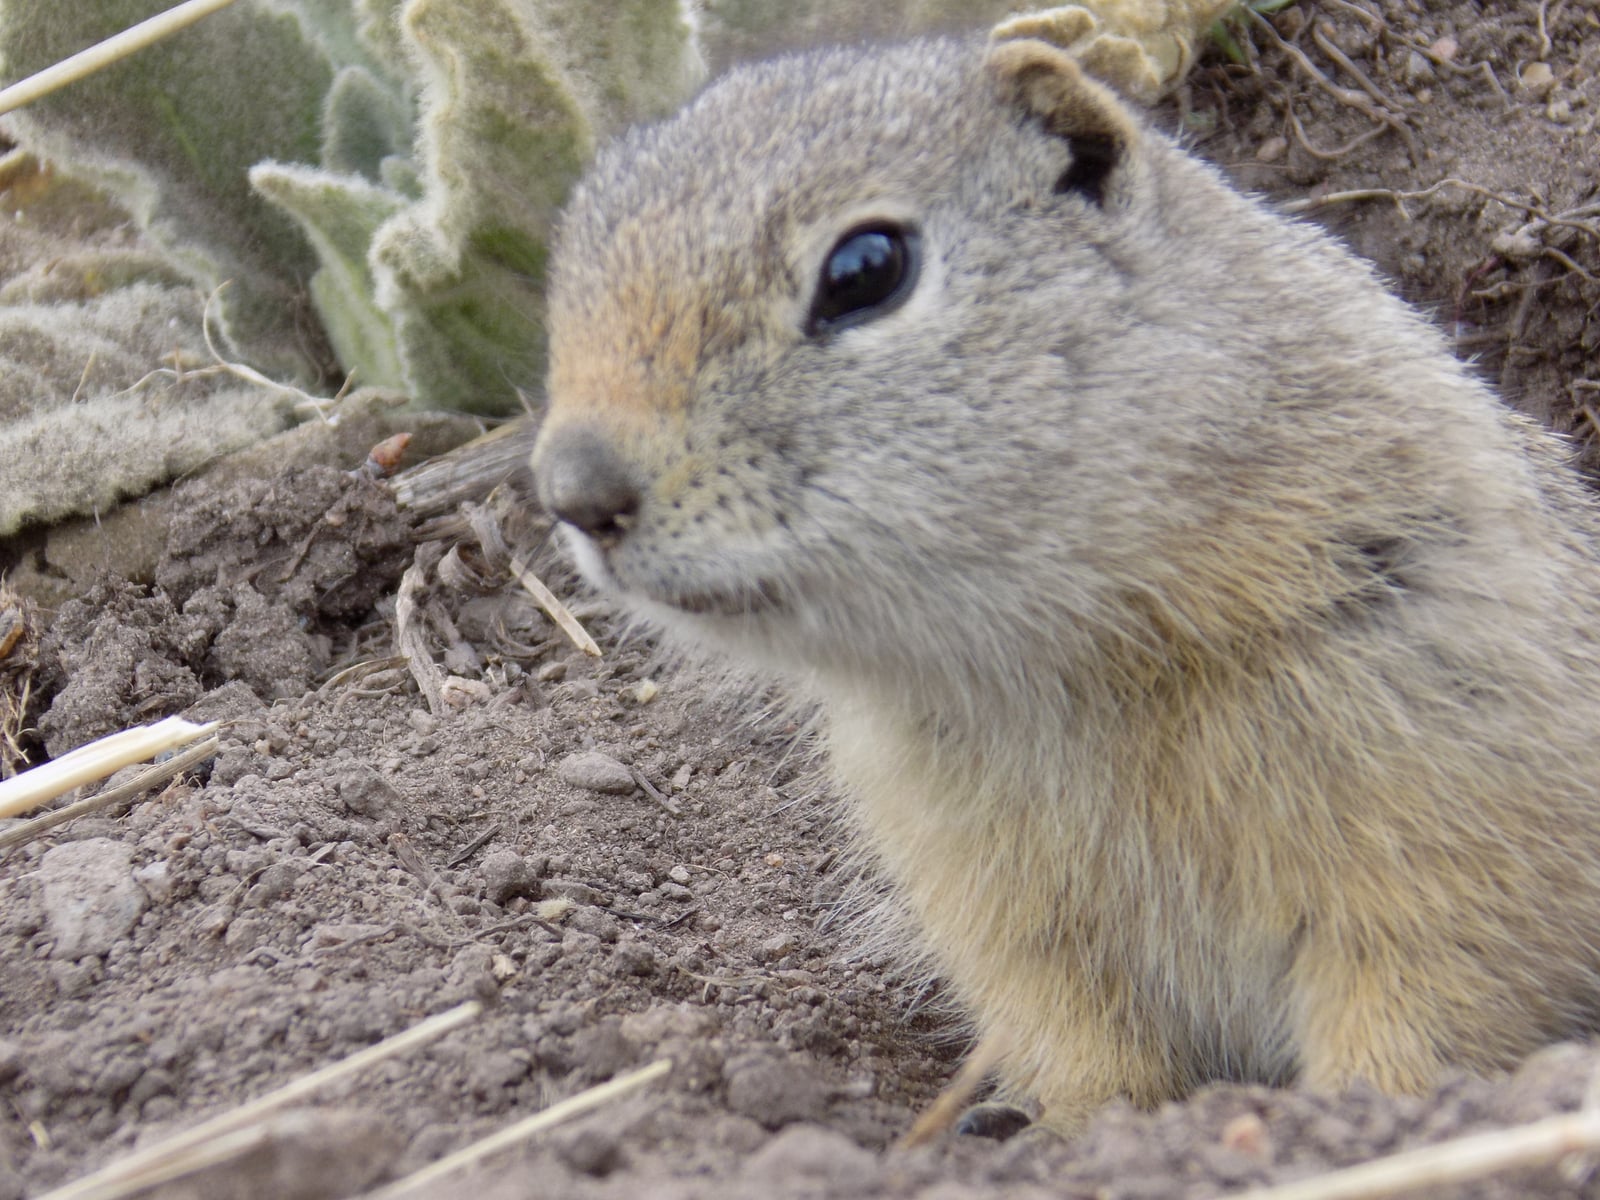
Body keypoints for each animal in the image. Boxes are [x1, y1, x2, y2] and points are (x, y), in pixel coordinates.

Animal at [529, 35, 1600, 1134]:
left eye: (867, 270)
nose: (574, 490)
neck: (1071, 656)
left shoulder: (1448, 826)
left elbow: (1417, 1003)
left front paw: (1364, 1114)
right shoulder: (999, 908)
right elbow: (1072, 1034)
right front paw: (1074, 1127)